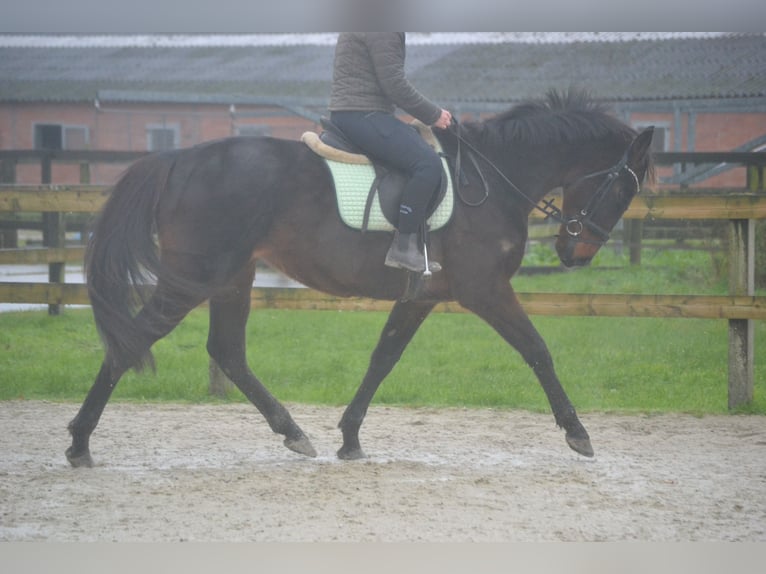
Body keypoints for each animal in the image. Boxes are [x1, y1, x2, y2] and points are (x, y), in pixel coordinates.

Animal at [67, 90, 656, 468]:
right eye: (623, 189)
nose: (575, 253)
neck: (491, 179)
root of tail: (179, 158)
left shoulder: (422, 296)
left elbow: (383, 357)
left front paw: (349, 437)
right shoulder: (484, 290)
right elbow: (537, 350)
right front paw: (577, 433)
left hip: (233, 277)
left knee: (227, 352)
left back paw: (293, 433)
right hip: (194, 276)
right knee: (134, 341)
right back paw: (79, 443)